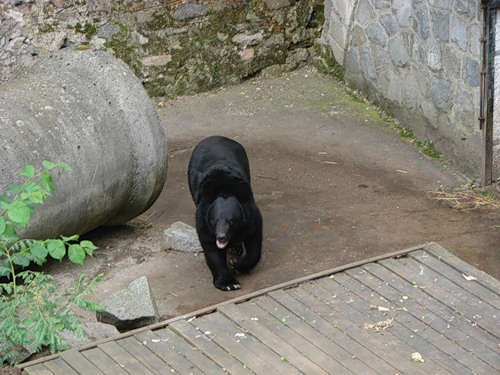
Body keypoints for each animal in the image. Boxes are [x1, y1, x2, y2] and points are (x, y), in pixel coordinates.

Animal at [188, 135, 264, 290]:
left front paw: (237, 264)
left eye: (231, 222)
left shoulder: (250, 212)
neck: (224, 189)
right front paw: (229, 283)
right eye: (214, 221)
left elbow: (254, 236)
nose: (221, 237)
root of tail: (216, 137)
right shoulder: (203, 217)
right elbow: (211, 249)